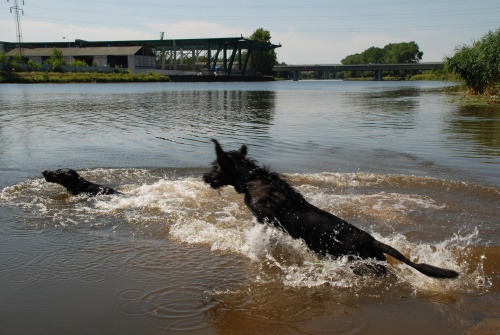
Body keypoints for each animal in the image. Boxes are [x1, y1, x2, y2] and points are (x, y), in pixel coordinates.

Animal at [202, 140, 458, 280]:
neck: (251, 178)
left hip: (365, 266)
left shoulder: (264, 217)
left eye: (216, 165)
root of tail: (374, 242)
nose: (204, 176)